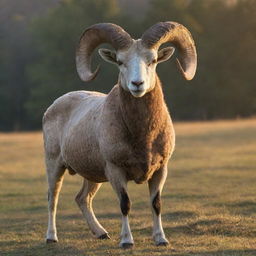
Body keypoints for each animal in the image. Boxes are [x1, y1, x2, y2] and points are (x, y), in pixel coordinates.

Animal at [43, 22, 196, 248]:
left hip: (93, 175)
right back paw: (51, 237)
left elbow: (156, 204)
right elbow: (125, 204)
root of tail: (53, 106)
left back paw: (101, 233)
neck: (143, 137)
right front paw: (126, 241)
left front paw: (161, 239)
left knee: (82, 198)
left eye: (152, 60)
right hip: (54, 165)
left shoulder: (161, 170)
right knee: (52, 198)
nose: (137, 84)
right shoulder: (116, 170)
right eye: (120, 62)